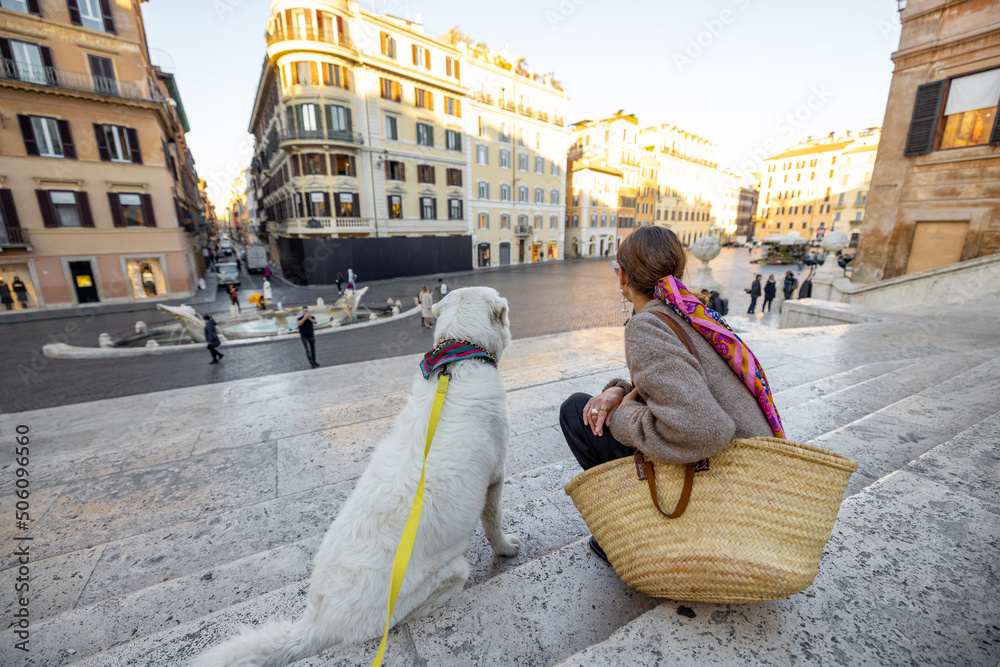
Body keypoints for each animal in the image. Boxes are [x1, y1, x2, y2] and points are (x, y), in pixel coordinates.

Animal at [196, 288, 524, 667]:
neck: (458, 359)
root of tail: (317, 623)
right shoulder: (495, 477)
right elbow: (494, 523)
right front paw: (506, 549)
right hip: (450, 573)